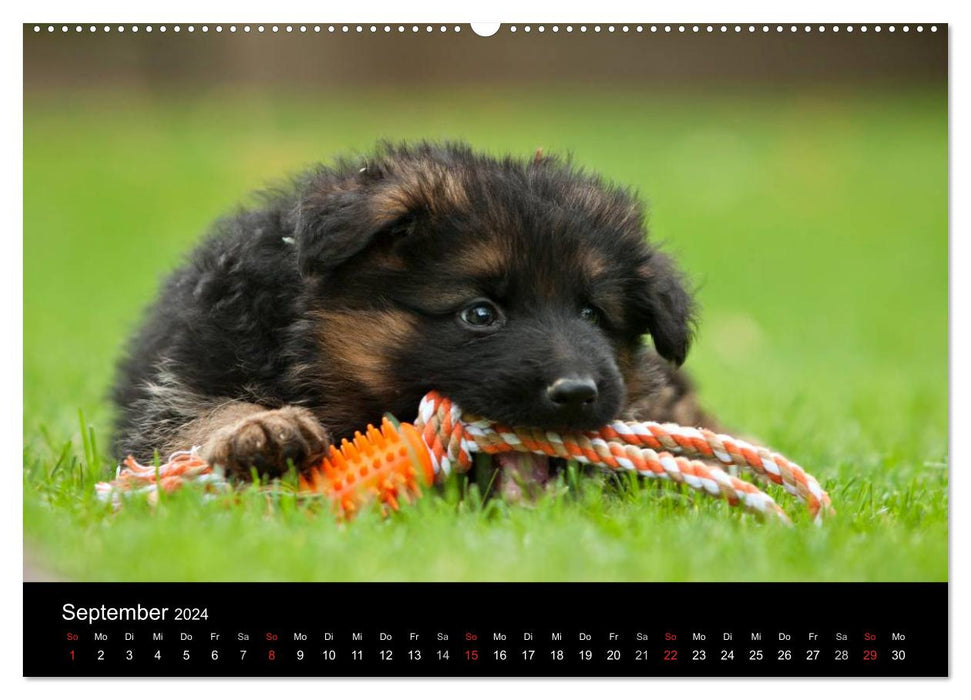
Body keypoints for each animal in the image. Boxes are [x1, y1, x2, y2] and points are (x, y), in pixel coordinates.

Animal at [110, 139, 716, 484]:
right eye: (480, 314)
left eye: (592, 315)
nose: (575, 393)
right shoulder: (186, 376)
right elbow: (189, 420)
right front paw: (258, 428)